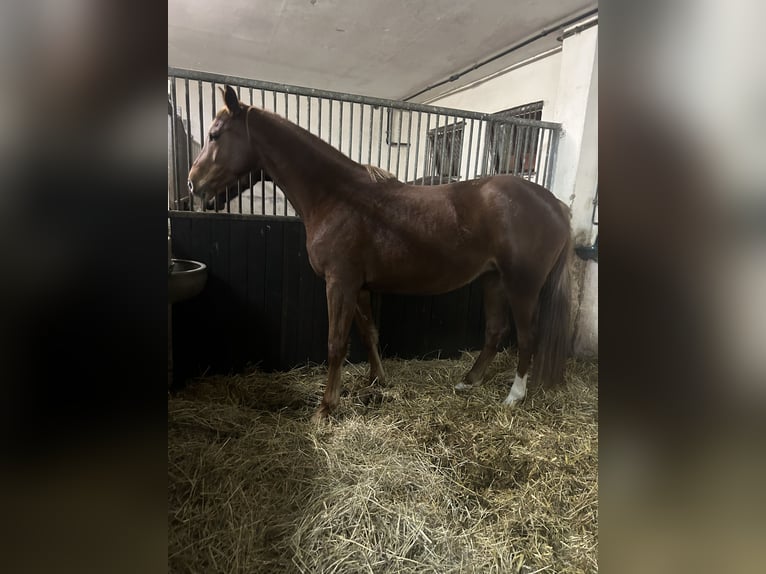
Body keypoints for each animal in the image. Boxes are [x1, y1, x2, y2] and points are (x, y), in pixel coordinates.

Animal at [188, 85, 573, 423]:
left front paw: (325, 408)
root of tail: (555, 204)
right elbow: (368, 333)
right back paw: (469, 380)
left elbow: (336, 343)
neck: (337, 197)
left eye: (215, 135)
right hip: (492, 279)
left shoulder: (339, 283)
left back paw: (514, 396)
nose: (193, 184)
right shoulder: (358, 287)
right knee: (495, 330)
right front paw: (378, 380)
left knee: (527, 336)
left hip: (522, 285)